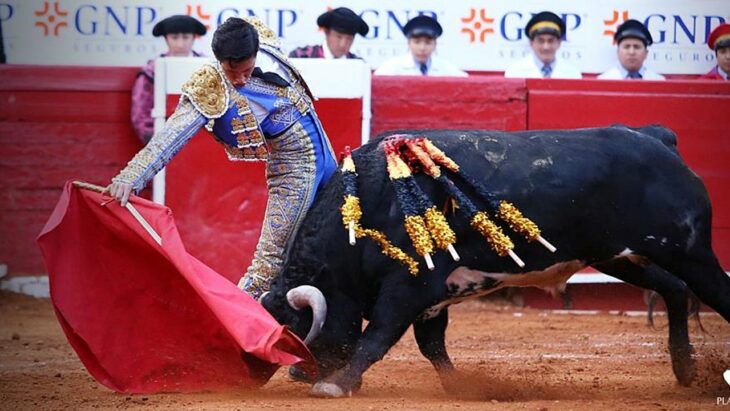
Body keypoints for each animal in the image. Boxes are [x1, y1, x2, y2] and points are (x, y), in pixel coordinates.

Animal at [262, 126, 728, 400]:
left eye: (295, 328)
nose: (297, 374)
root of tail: (658, 139)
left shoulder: (411, 287)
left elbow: (376, 336)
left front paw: (336, 384)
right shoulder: (434, 297)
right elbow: (431, 344)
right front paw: (460, 388)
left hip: (688, 250)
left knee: (713, 291)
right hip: (618, 257)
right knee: (674, 289)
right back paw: (684, 369)